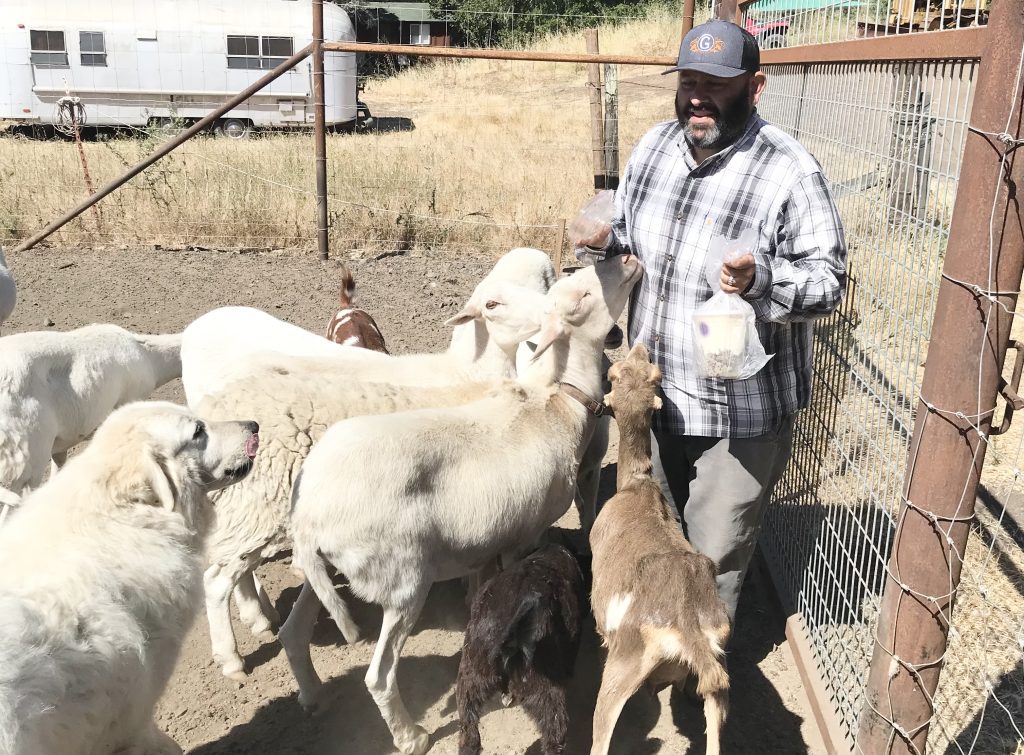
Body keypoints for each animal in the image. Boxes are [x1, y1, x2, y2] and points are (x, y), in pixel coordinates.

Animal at [589, 344, 733, 753]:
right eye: (653, 376)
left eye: (611, 376)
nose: (639, 347)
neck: (636, 486)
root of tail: (689, 627)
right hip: (717, 678)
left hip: (622, 667)